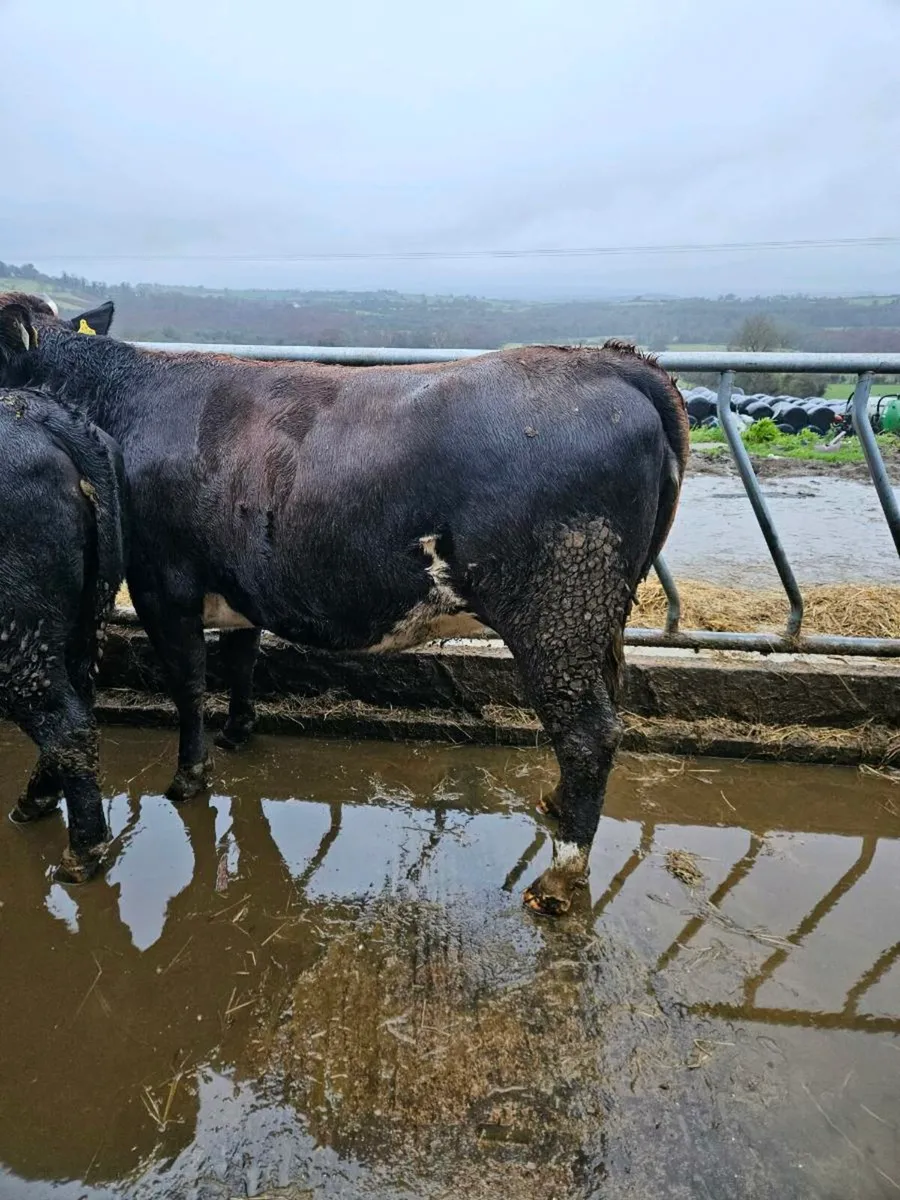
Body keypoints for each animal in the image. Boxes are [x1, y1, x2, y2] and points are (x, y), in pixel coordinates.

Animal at [0, 291, 688, 914]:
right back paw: (555, 806)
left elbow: (189, 683)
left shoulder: (162, 584)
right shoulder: (240, 582)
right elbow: (240, 661)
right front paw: (238, 733)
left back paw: (558, 880)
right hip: (598, 619)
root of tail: (610, 362)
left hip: (561, 611)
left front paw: (189, 778)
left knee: (588, 730)